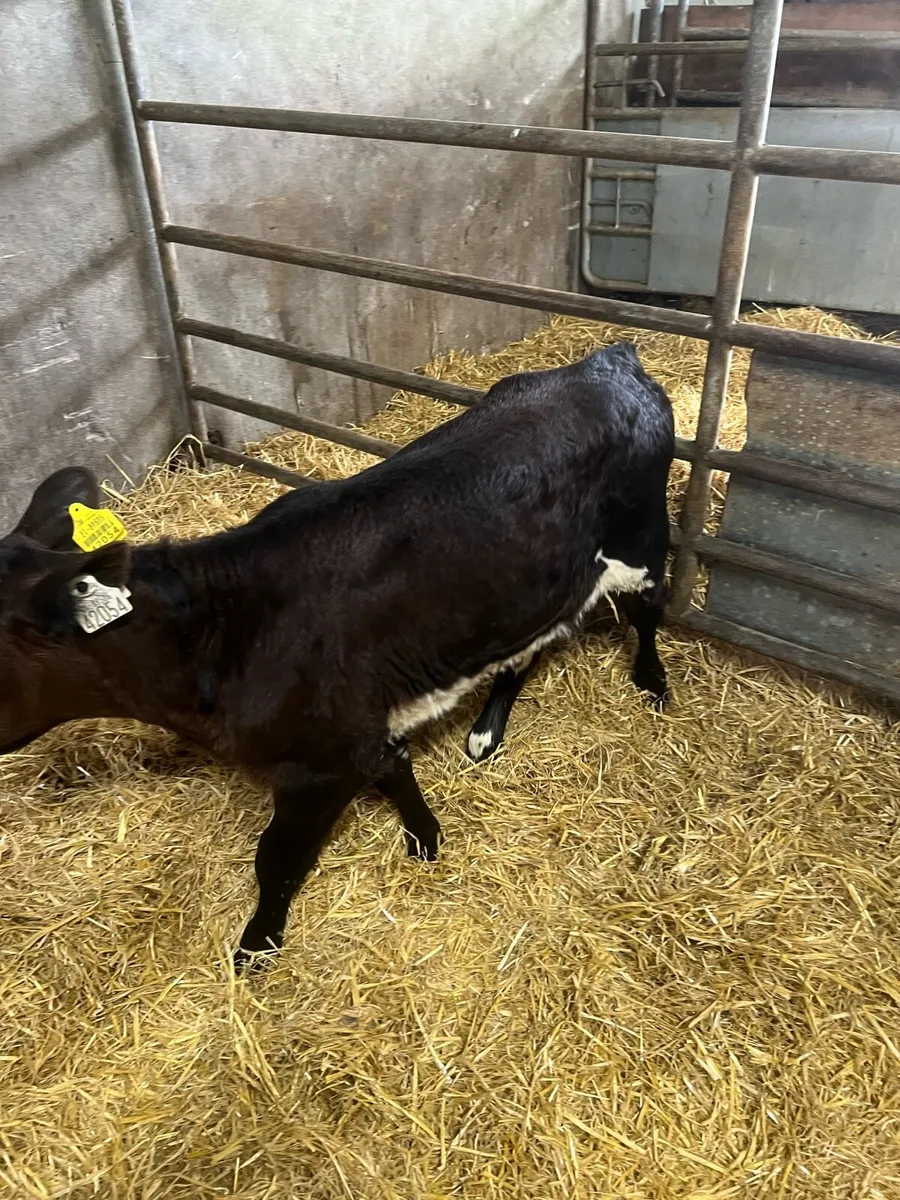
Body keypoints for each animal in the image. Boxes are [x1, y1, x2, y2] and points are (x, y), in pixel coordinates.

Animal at [0, 342, 674, 970]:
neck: (225, 634)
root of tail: (606, 359)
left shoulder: (320, 765)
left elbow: (276, 858)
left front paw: (256, 947)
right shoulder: (358, 729)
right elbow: (395, 768)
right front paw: (426, 839)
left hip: (643, 538)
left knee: (649, 611)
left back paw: (652, 682)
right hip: (530, 588)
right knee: (526, 648)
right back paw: (486, 730)